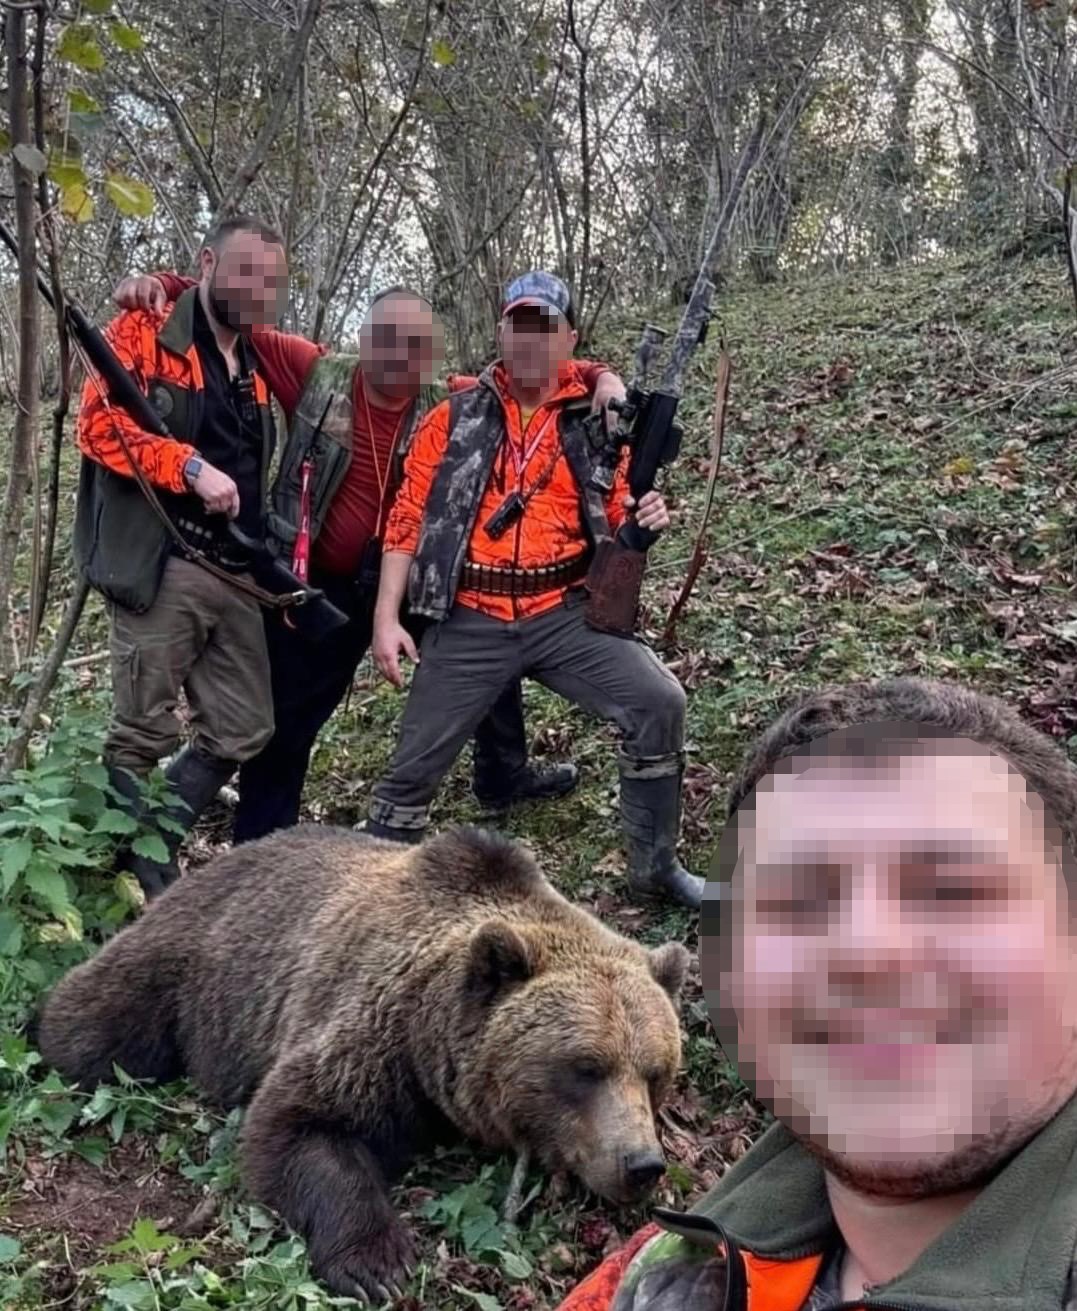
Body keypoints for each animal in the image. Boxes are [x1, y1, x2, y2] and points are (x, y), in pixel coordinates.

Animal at [35, 825, 691, 1302]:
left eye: (655, 1071)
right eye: (585, 1067)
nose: (641, 1163)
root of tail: (220, 859)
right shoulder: (375, 1031)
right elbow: (301, 1123)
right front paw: (378, 1262)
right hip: (190, 964)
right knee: (93, 1027)